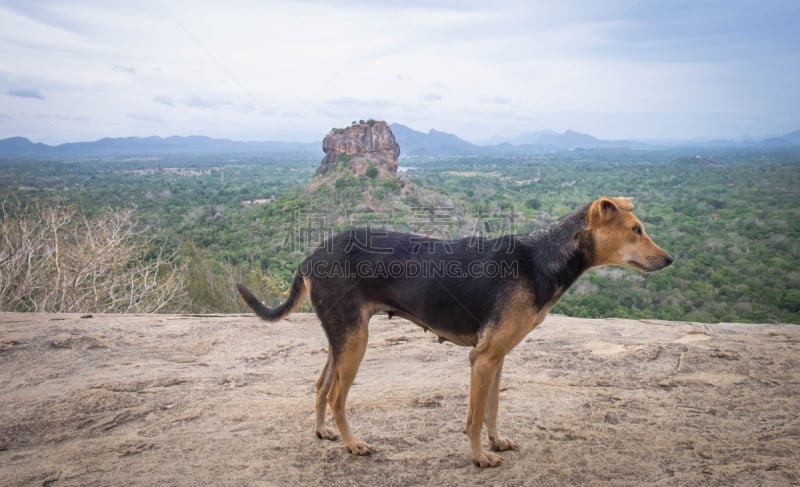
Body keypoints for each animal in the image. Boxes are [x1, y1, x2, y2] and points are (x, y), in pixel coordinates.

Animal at [234, 195, 672, 468]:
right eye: (636, 230)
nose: (669, 259)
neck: (542, 257)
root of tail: (310, 256)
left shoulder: (497, 357)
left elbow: (493, 409)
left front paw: (497, 442)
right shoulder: (482, 358)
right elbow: (474, 417)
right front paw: (480, 458)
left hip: (341, 337)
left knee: (321, 385)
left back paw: (324, 432)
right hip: (356, 342)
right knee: (337, 395)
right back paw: (352, 444)